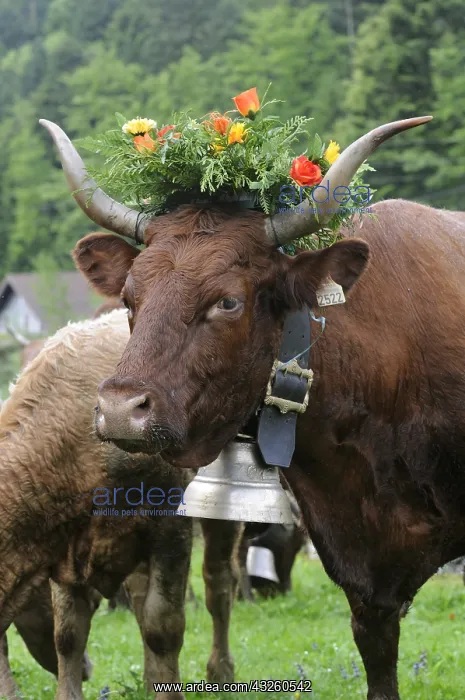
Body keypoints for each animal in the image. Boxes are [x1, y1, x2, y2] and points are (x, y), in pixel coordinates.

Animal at [0, 309, 241, 699]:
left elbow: (163, 626)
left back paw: (220, 673)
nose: (88, 670)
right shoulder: (65, 549)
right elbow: (68, 634)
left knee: (219, 584)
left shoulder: (170, 528)